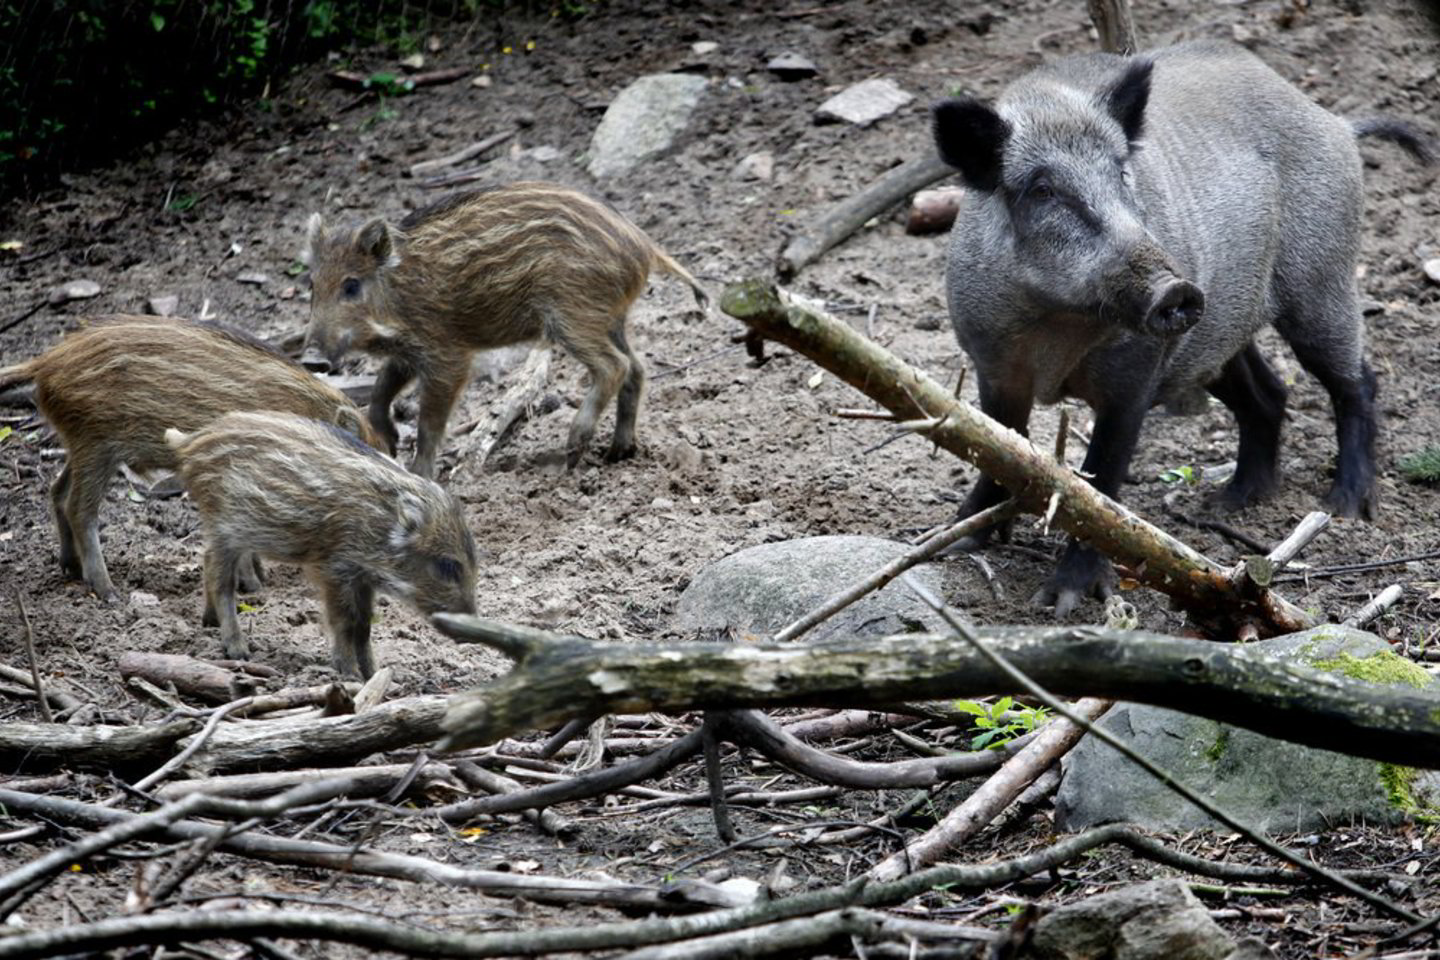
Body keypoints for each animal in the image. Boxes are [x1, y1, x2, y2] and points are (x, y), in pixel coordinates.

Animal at [0, 316, 384, 603]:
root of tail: (45, 363)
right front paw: (254, 586)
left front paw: (257, 579)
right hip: (95, 445)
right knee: (79, 508)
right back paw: (108, 591)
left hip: (80, 445)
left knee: (57, 491)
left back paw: (71, 568)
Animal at [164, 410, 478, 679]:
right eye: (447, 565)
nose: (471, 631)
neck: (380, 525)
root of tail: (188, 443)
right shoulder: (333, 568)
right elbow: (345, 621)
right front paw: (350, 675)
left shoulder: (363, 577)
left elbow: (364, 625)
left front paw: (374, 673)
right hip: (224, 525)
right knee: (221, 581)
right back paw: (239, 650)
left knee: (206, 561)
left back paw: (209, 622)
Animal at [300, 180, 709, 477]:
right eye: (312, 284)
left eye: (351, 285)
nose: (311, 360)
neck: (398, 292)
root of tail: (645, 247)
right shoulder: (408, 353)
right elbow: (381, 390)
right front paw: (388, 438)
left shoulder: (447, 355)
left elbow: (429, 423)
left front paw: (421, 475)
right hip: (609, 318)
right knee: (637, 368)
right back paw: (618, 453)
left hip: (573, 315)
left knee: (615, 366)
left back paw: (573, 451)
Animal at [931, 40, 1431, 617]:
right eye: (1041, 189)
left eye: (1122, 171)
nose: (1176, 289)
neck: (1055, 328)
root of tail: (1338, 123)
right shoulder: (991, 365)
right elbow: (996, 447)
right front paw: (950, 541)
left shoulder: (1134, 380)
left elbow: (1103, 479)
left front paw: (1064, 603)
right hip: (1218, 333)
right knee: (1269, 394)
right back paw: (1229, 502)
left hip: (1322, 282)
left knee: (1357, 382)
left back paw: (1345, 506)